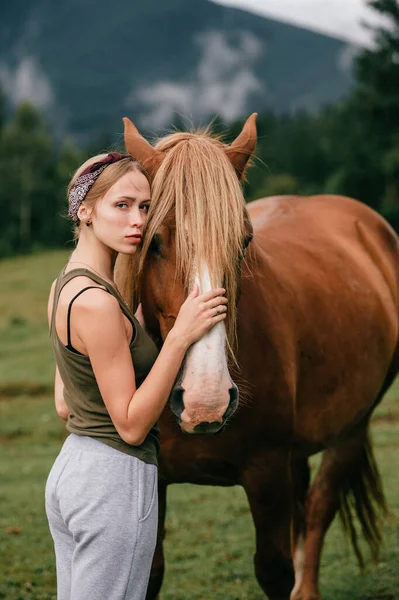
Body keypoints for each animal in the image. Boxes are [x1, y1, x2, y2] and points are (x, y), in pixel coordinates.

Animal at [116, 115, 399, 596]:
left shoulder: (266, 472)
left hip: (352, 427)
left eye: (244, 242)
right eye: (153, 242)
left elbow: (274, 570)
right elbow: (147, 573)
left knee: (319, 507)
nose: (205, 401)